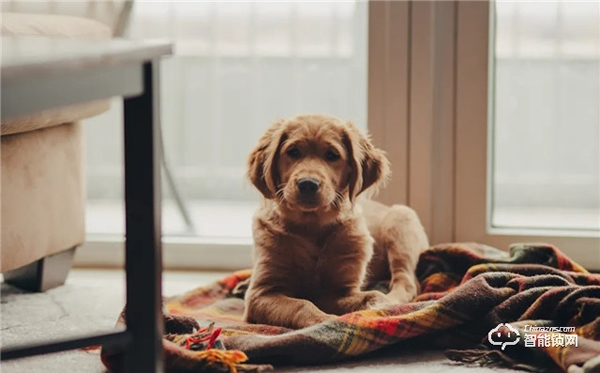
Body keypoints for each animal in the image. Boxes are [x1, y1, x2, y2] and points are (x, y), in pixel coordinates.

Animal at [241, 114, 428, 328]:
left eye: (332, 155)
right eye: (293, 152)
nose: (308, 184)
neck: (312, 227)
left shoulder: (340, 290)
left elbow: (371, 295)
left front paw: (381, 306)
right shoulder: (261, 293)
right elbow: (301, 304)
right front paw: (325, 320)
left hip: (401, 221)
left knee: (408, 281)